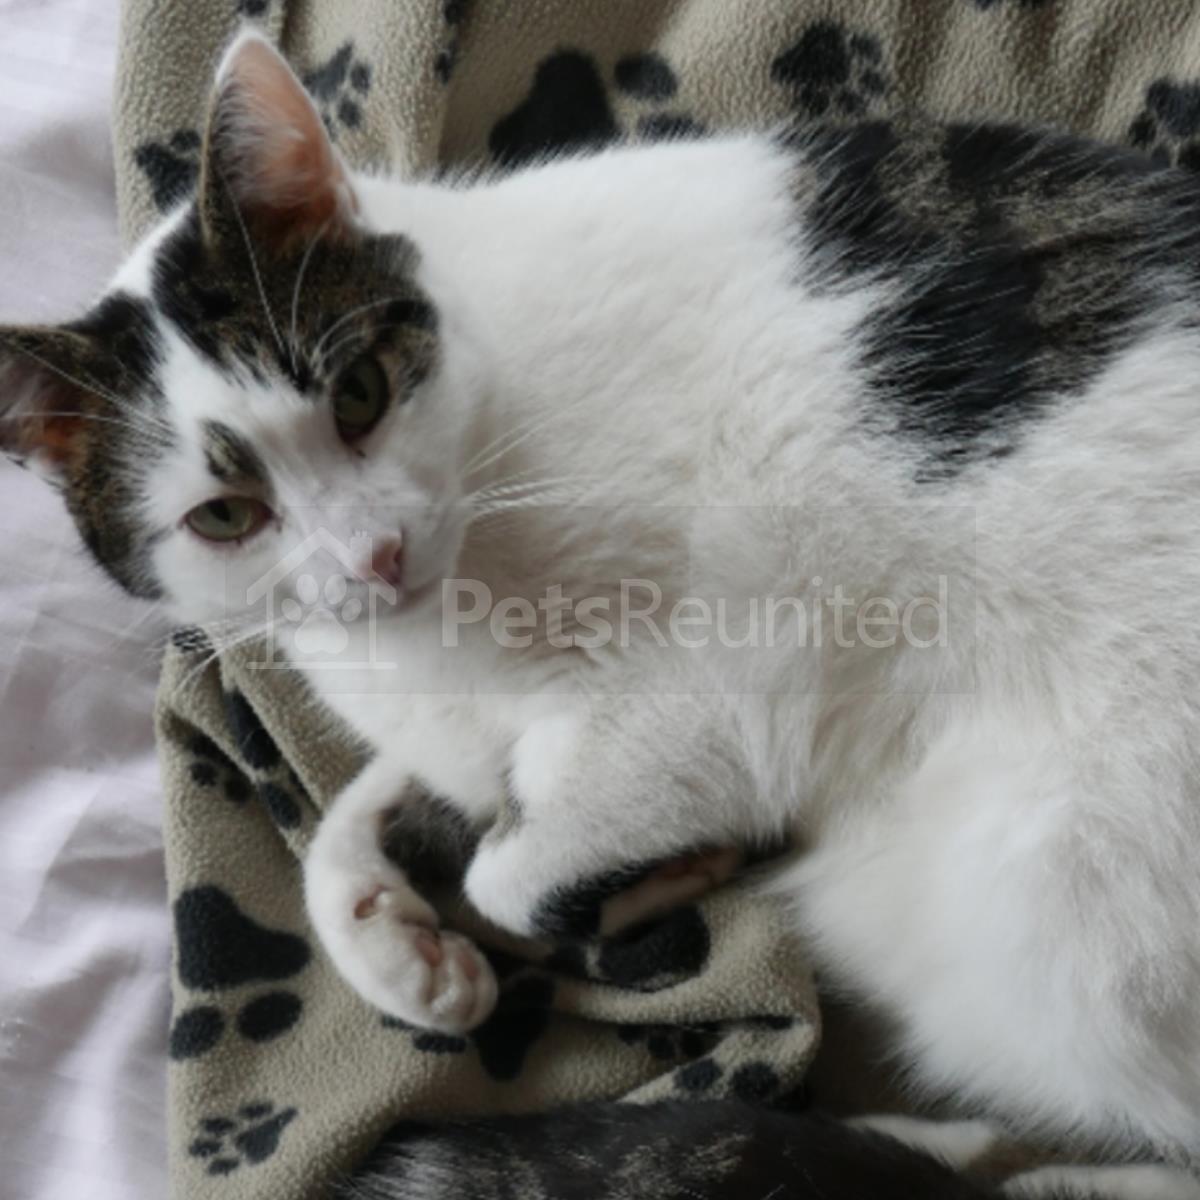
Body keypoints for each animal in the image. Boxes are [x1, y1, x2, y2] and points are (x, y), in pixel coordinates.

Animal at [4, 29, 1200, 1200]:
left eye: (359, 396)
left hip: (1036, 916)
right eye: (225, 516)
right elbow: (392, 805)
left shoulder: (714, 688)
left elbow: (509, 871)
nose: (374, 556)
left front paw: (651, 882)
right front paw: (398, 943)